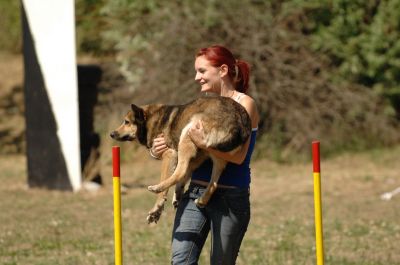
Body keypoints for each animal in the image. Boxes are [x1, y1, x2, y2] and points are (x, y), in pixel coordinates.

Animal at [109, 95, 252, 223]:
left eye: (126, 122)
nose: (111, 134)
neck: (152, 120)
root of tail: (240, 122)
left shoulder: (170, 154)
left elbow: (173, 178)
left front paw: (157, 207)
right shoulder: (198, 156)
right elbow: (184, 177)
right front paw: (171, 200)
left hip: (188, 132)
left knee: (180, 171)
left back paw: (157, 187)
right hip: (217, 158)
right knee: (213, 183)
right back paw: (201, 200)